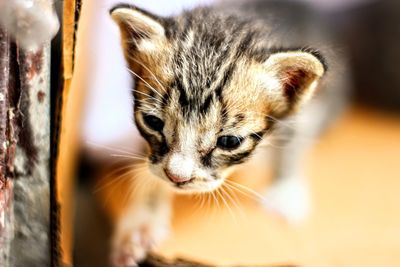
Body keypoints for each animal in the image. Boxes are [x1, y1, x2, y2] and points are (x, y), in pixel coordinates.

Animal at [110, 1, 350, 266]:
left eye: (229, 141)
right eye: (152, 122)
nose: (177, 178)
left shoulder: (298, 112)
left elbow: (294, 135)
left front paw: (285, 189)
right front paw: (141, 224)